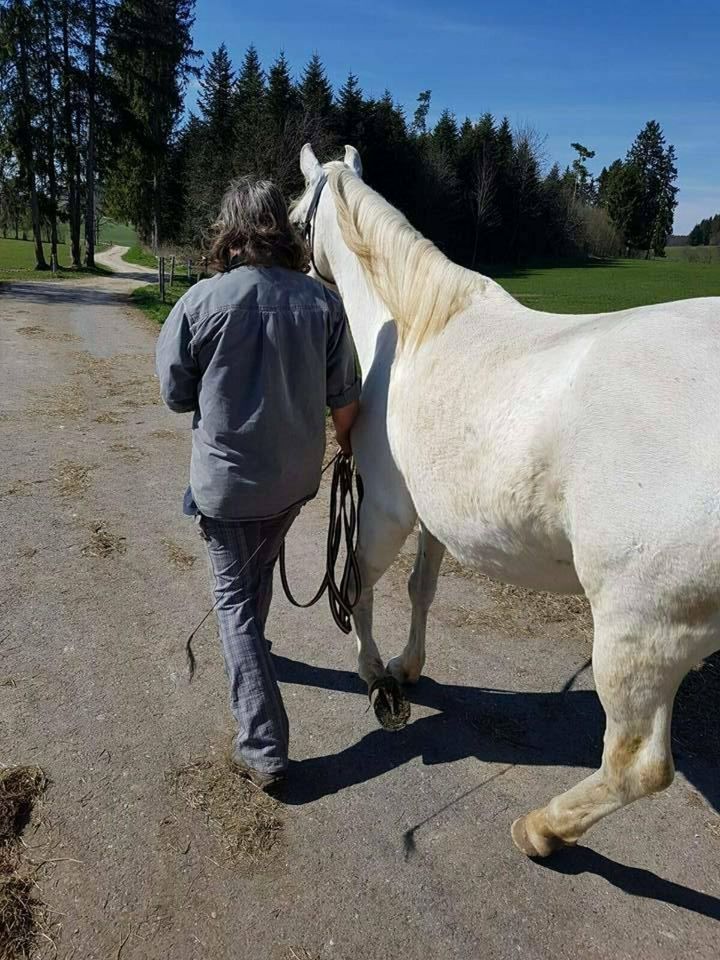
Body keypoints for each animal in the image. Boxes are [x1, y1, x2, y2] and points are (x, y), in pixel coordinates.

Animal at [292, 141, 720, 856]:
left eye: (297, 213)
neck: (416, 330)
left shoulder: (383, 513)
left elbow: (357, 587)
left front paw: (374, 674)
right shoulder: (437, 519)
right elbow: (421, 591)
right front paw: (408, 666)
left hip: (641, 628)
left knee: (637, 766)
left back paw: (542, 829)